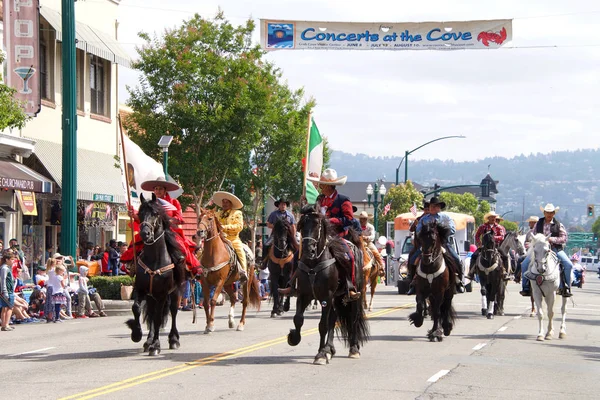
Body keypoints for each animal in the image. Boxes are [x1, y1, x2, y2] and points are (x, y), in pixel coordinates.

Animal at [124, 194, 185, 356]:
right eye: (140, 213)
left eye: (156, 213)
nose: (145, 233)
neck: (154, 259)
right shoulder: (140, 290)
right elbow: (136, 308)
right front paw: (137, 334)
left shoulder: (162, 294)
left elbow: (158, 318)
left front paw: (156, 346)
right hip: (151, 297)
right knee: (151, 314)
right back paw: (148, 340)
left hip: (175, 292)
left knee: (173, 311)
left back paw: (173, 339)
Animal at [288, 206, 368, 366]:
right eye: (302, 225)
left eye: (317, 225)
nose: (308, 250)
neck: (313, 264)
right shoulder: (304, 295)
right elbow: (298, 319)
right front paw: (294, 337)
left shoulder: (326, 296)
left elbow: (322, 325)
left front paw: (320, 354)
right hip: (336, 299)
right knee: (333, 319)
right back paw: (329, 348)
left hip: (354, 296)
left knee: (353, 318)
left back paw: (353, 349)